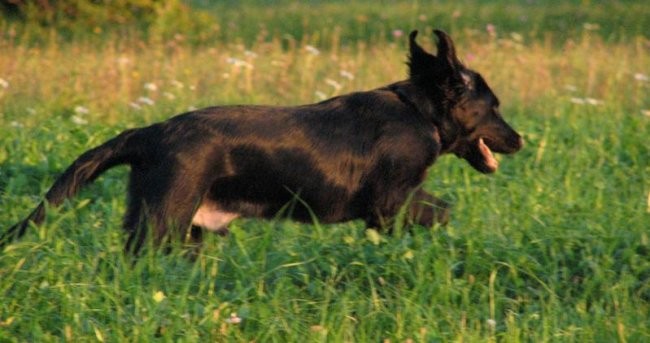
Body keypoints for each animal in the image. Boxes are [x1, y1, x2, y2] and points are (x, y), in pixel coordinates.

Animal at [0, 30, 520, 255]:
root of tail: (151, 132)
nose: (521, 140)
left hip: (173, 226)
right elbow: (440, 210)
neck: (418, 113)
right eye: (493, 106)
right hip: (165, 218)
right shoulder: (391, 201)